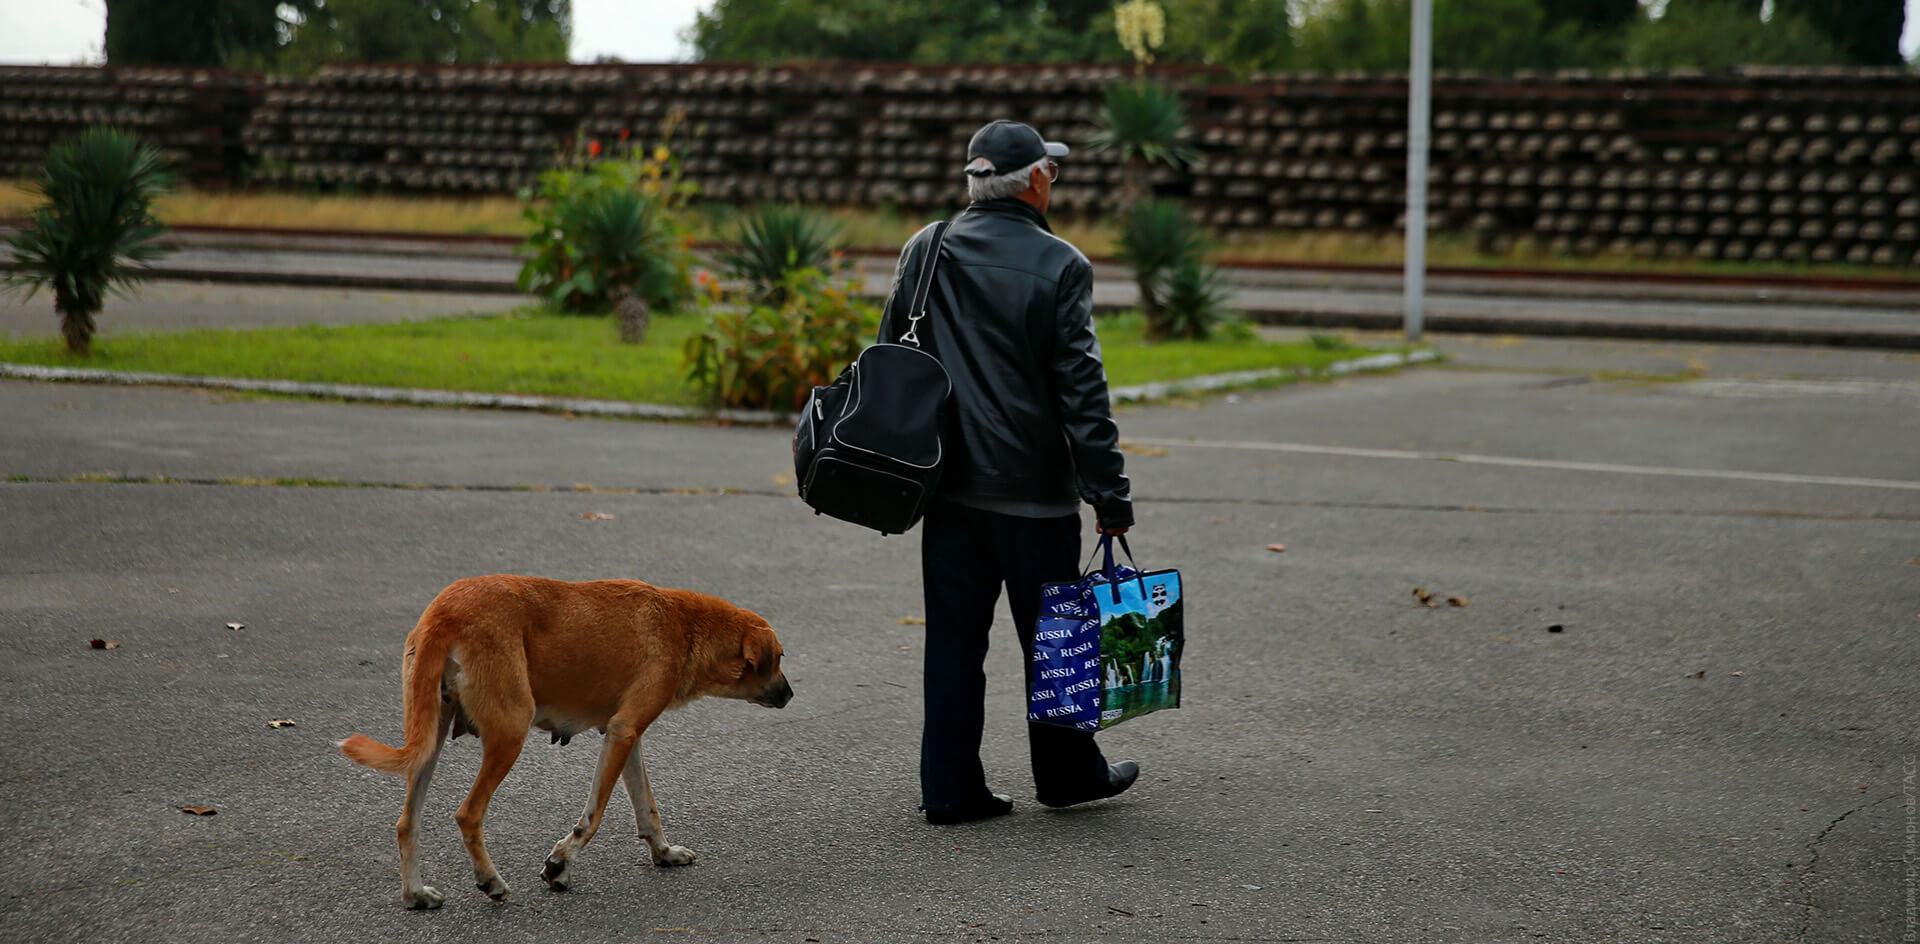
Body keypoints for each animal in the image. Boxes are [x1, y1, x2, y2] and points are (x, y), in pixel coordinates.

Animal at [341, 575, 791, 905]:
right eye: (781, 658)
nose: (790, 695)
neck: (685, 625)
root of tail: (444, 611)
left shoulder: (625, 736)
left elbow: (648, 808)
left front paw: (663, 853)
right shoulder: (623, 732)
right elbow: (593, 817)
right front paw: (560, 864)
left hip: (429, 743)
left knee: (407, 823)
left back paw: (415, 893)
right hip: (509, 734)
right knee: (468, 814)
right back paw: (490, 880)